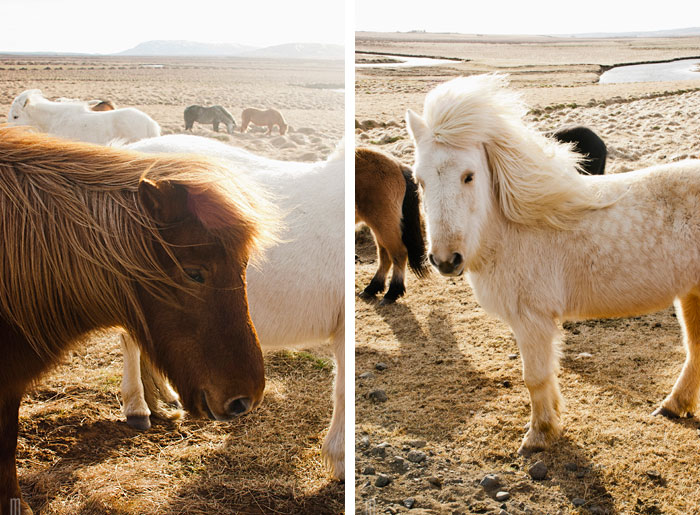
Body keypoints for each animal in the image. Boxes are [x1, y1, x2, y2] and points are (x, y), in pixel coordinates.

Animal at [356, 147, 426, 304]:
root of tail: (398, 165)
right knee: (385, 254)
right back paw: (373, 288)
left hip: (383, 221)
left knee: (398, 253)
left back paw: (392, 292)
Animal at [404, 73, 700, 456]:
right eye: (420, 180)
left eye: (469, 176)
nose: (445, 259)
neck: (513, 230)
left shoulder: (533, 319)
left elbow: (535, 377)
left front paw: (539, 435)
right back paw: (673, 406)